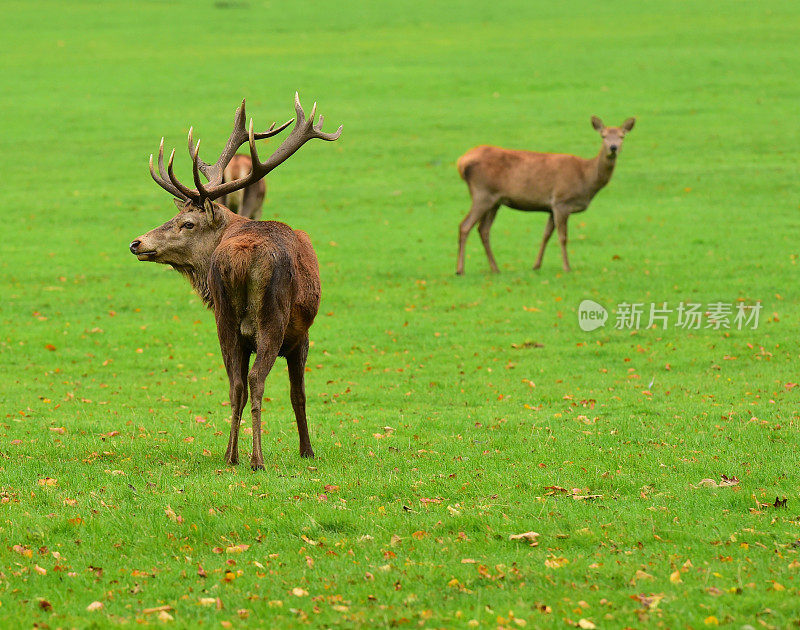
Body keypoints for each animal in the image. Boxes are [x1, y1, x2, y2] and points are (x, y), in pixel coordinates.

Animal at [130, 94, 342, 470]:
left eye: (186, 222)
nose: (137, 243)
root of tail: (242, 259)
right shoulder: (301, 336)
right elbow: (298, 394)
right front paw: (307, 450)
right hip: (273, 318)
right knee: (256, 381)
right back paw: (257, 459)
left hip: (225, 320)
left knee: (235, 384)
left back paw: (231, 456)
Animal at [460, 116, 636, 274]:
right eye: (603, 136)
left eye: (622, 136)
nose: (613, 147)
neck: (586, 178)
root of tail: (461, 162)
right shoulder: (561, 201)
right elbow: (563, 237)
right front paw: (567, 267)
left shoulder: (551, 207)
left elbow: (546, 235)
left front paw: (536, 265)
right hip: (482, 193)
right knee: (465, 225)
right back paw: (460, 270)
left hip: (495, 201)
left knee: (483, 229)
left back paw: (495, 269)